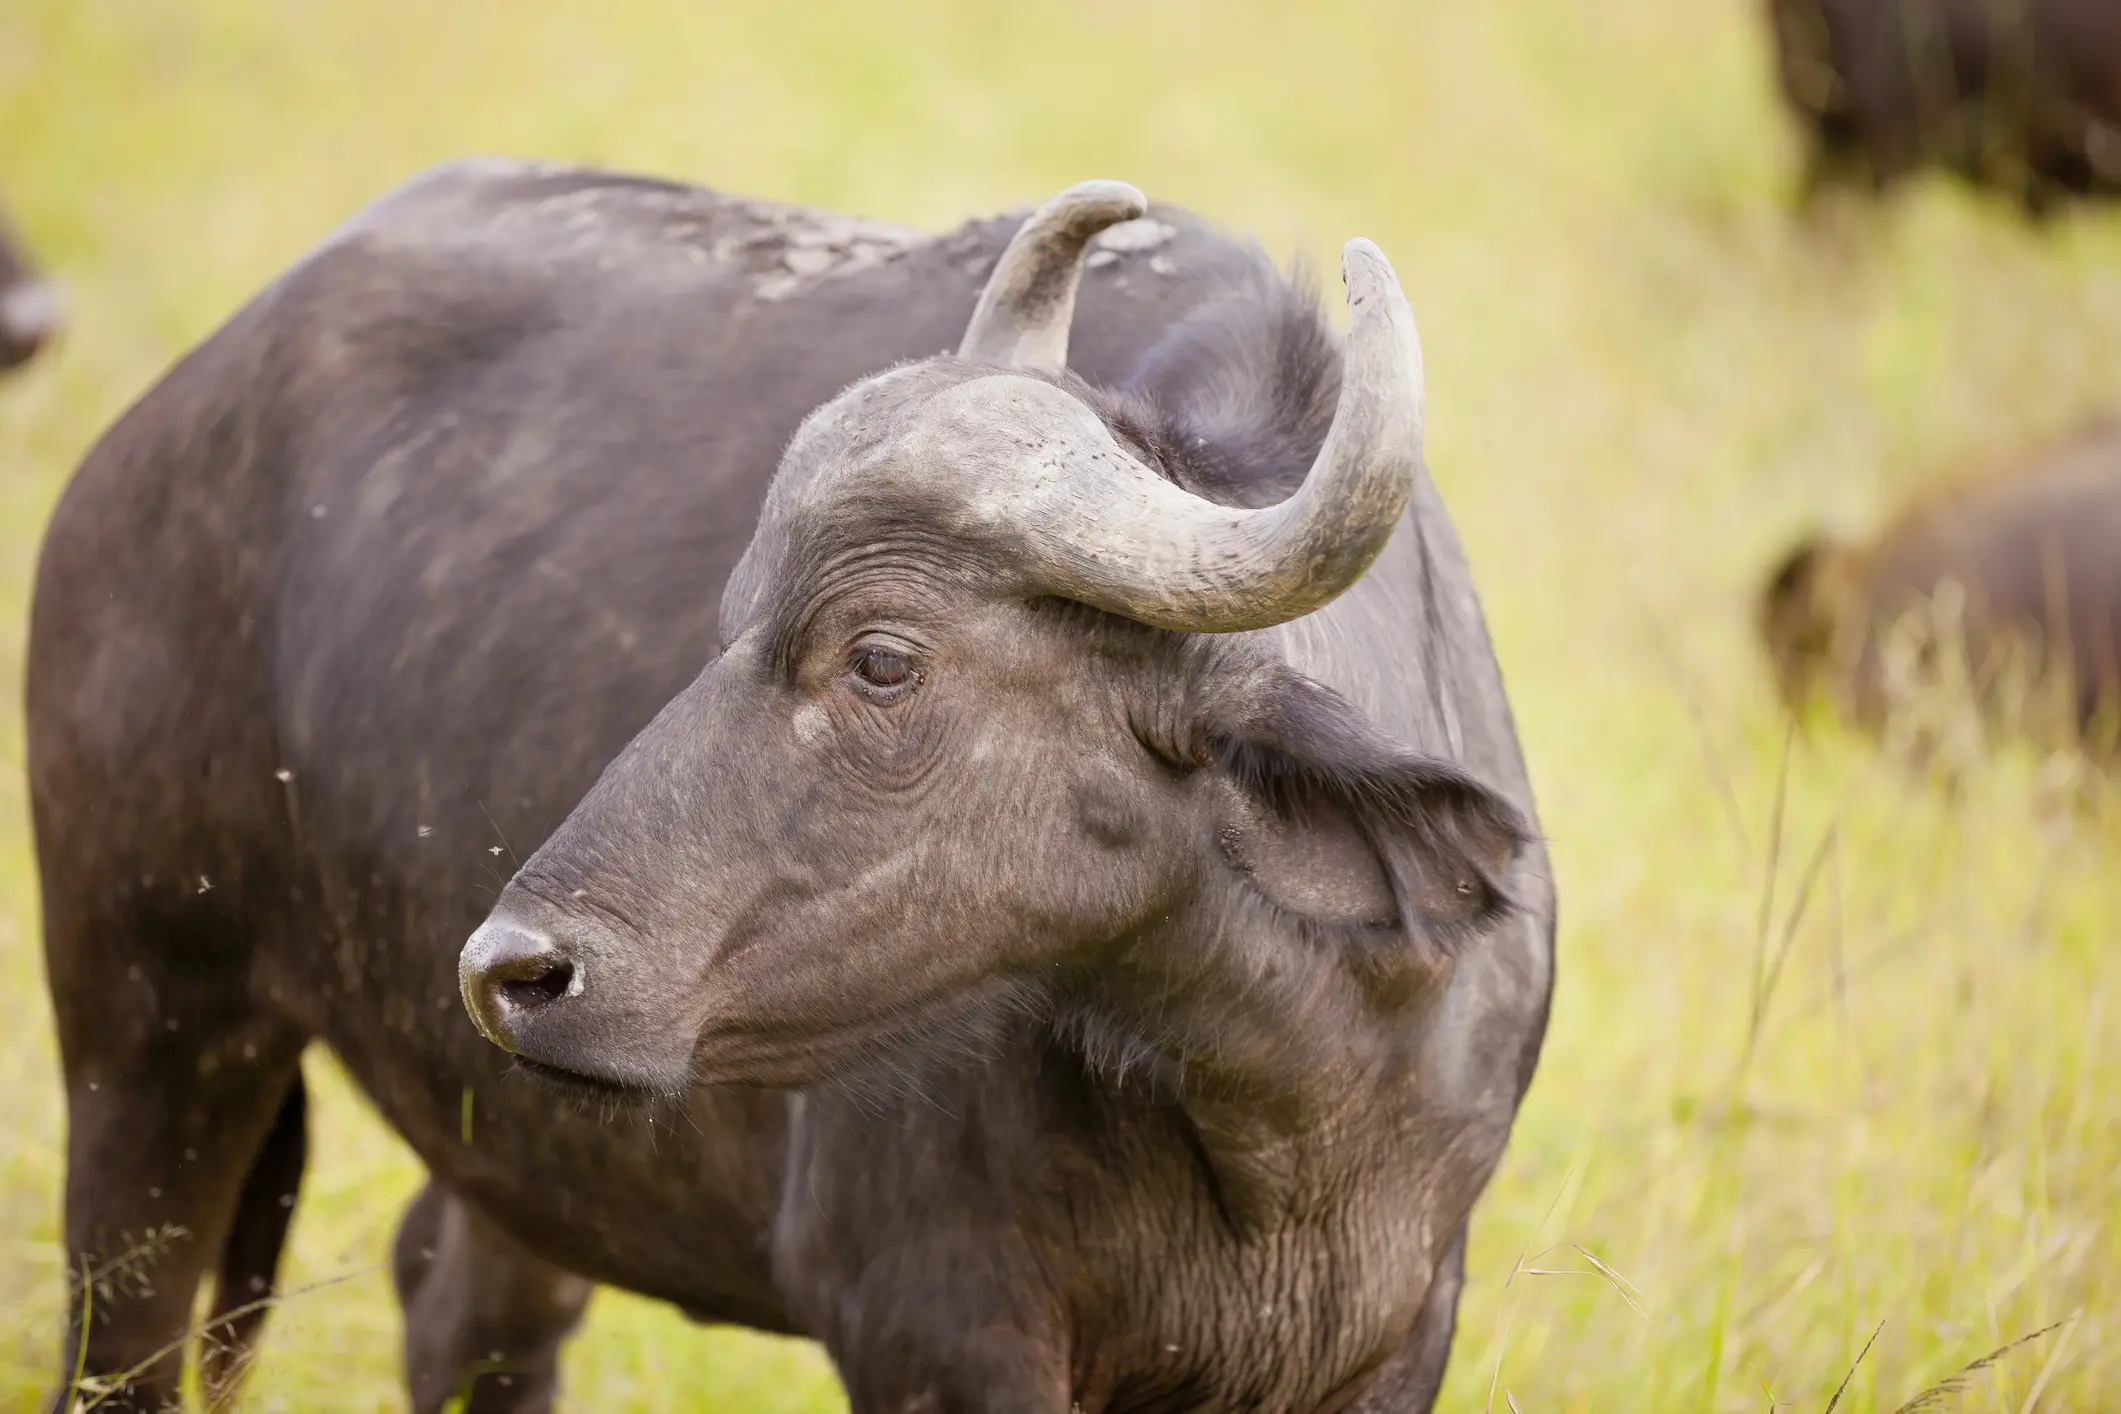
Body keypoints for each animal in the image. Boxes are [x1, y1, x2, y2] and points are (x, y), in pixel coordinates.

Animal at [32, 164, 1553, 1413]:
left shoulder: (1399, 1333)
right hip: (150, 1027)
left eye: (880, 657)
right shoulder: (931, 1323)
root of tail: (152, 439)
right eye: (736, 619)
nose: (515, 970)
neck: (1268, 1109)